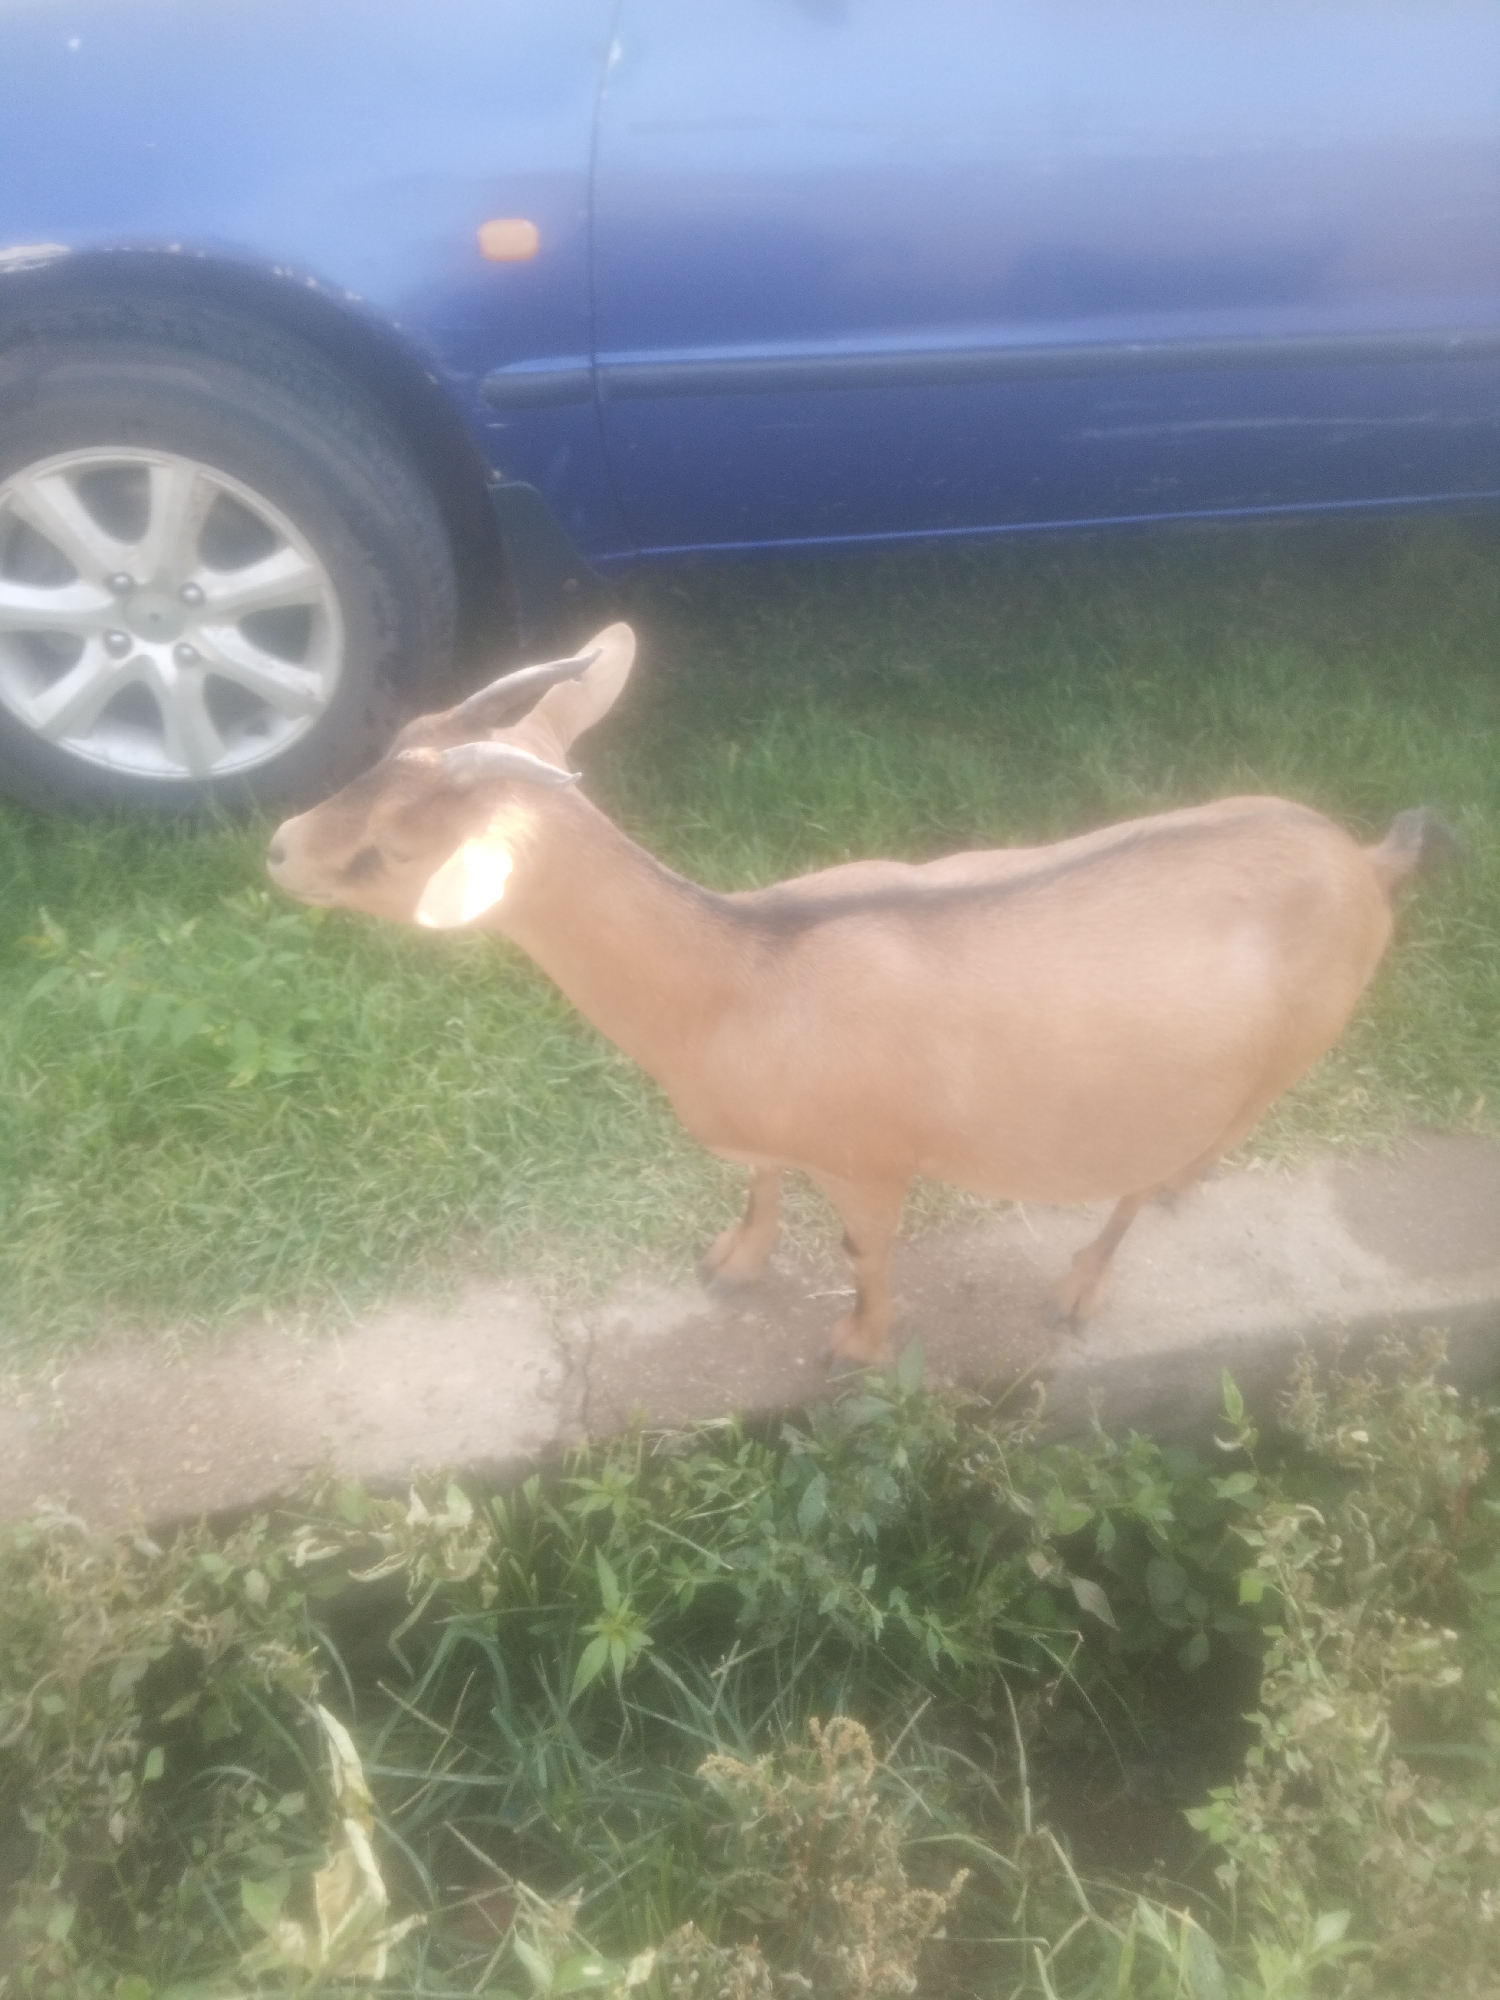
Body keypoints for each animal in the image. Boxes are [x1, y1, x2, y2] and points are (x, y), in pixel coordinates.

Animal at [267, 621, 1446, 1367]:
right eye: (395, 736)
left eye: (389, 851)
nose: (279, 847)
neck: (738, 977)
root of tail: (1363, 860)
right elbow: (758, 1182)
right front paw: (732, 1263)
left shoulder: (874, 1162)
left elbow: (864, 1253)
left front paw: (856, 1346)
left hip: (1286, 1050)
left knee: (1163, 1166)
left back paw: (1082, 1285)